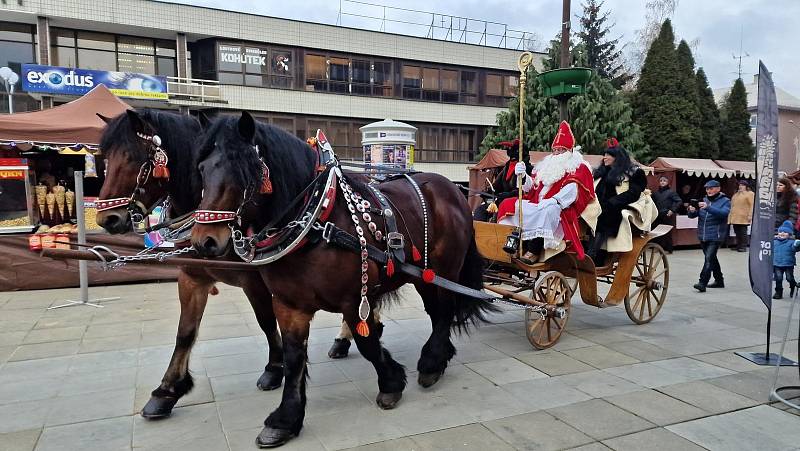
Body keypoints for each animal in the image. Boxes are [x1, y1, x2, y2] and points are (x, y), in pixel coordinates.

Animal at [96, 110, 284, 420]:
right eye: (106, 158)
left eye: (133, 158)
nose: (106, 219)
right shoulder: (192, 277)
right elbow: (185, 331)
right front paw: (167, 390)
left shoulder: (253, 279)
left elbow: (267, 320)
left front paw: (275, 368)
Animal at [193, 113, 494, 448]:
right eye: (202, 169)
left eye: (245, 171)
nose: (205, 241)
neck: (316, 221)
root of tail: (454, 189)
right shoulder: (288, 304)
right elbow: (294, 358)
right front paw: (285, 419)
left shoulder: (353, 300)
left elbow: (368, 343)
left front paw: (391, 383)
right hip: (425, 275)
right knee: (437, 311)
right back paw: (439, 357)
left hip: (445, 268)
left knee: (444, 311)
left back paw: (431, 363)